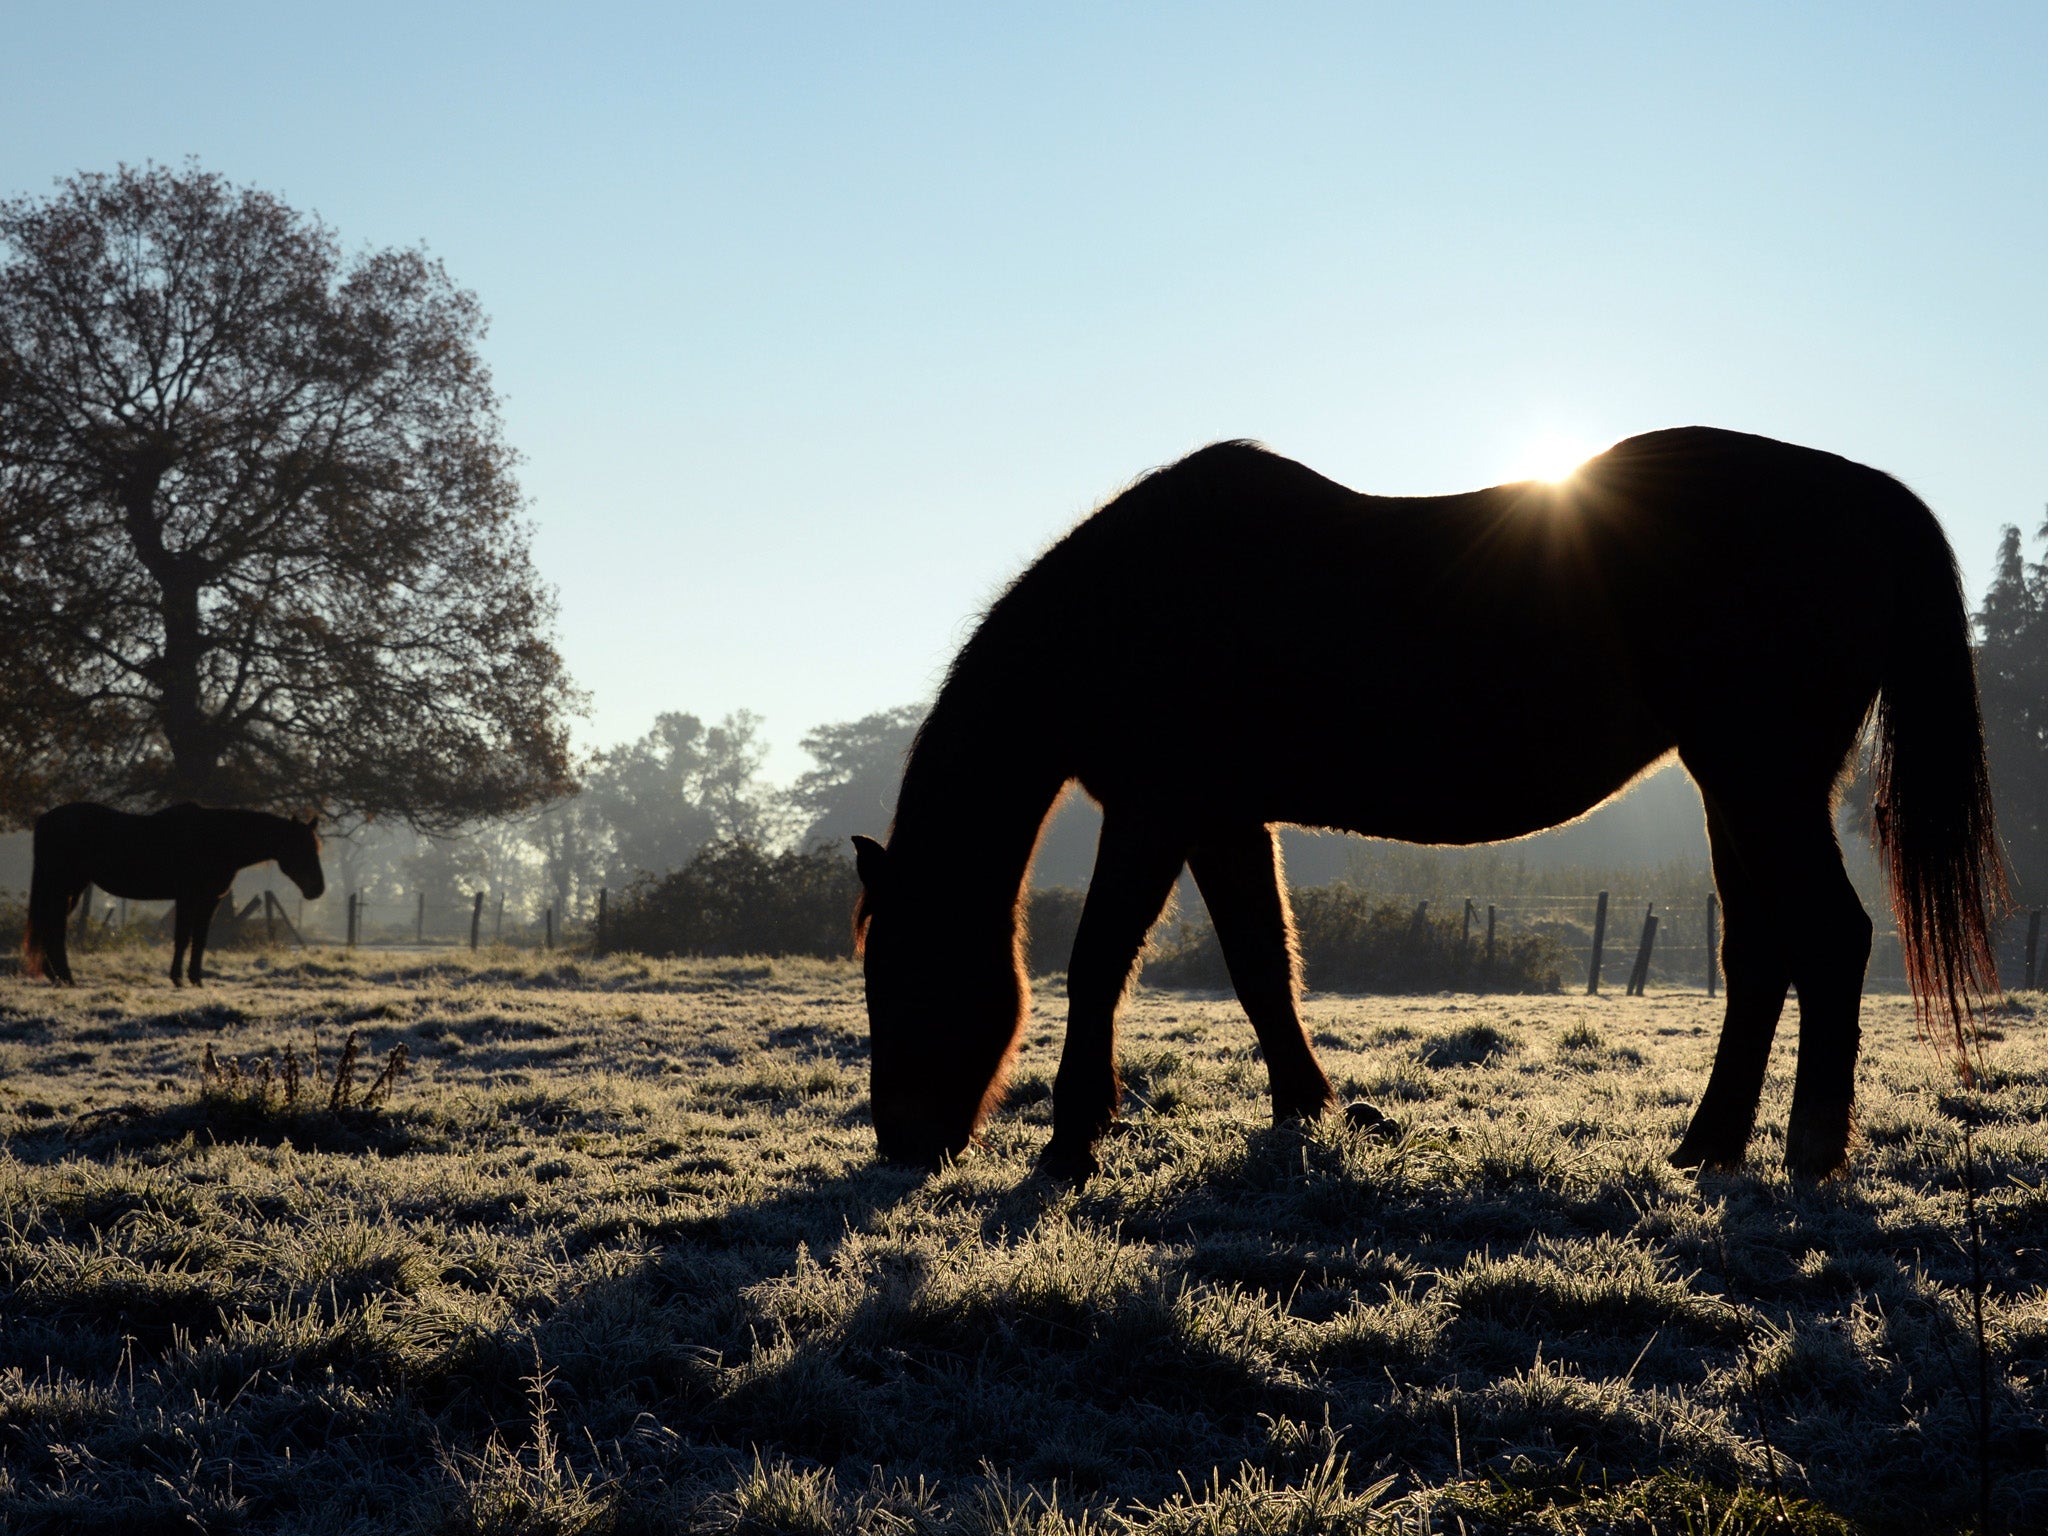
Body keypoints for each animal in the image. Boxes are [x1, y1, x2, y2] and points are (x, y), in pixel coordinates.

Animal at [24, 806, 323, 987]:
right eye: (301, 848)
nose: (318, 889)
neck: (217, 839)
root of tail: (46, 820)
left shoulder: (210, 900)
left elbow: (199, 940)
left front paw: (196, 980)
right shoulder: (188, 897)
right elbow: (183, 938)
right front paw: (178, 978)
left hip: (69, 890)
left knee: (51, 927)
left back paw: (56, 976)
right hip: (64, 888)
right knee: (55, 929)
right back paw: (66, 977)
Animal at [856, 434, 2007, 1187]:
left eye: (900, 976)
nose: (901, 1144)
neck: (1130, 606)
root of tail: (1866, 494)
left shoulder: (1156, 808)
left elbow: (1099, 960)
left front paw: (1070, 1143)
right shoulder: (1221, 817)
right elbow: (1260, 963)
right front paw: (1308, 1107)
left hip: (1758, 776)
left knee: (1831, 939)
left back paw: (1808, 1153)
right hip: (1739, 787)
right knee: (1763, 952)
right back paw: (1708, 1146)